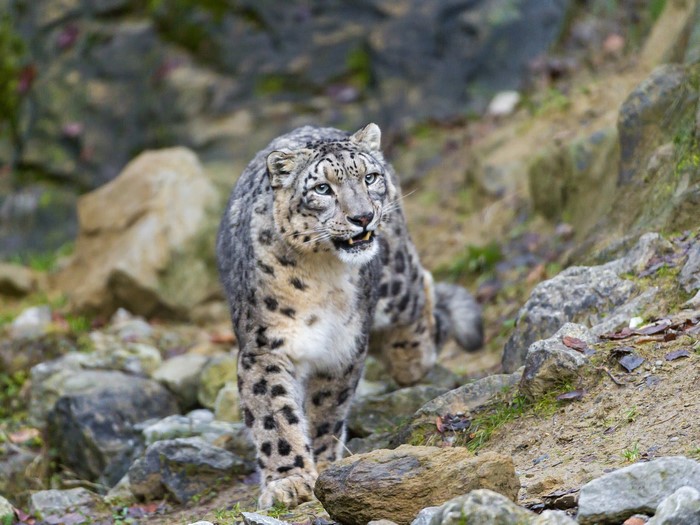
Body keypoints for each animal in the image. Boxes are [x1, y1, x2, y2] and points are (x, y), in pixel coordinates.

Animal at [216, 123, 482, 509]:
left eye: (369, 177)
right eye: (322, 188)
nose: (363, 217)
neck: (323, 275)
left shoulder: (343, 346)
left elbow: (327, 408)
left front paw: (322, 462)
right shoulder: (265, 346)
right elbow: (273, 416)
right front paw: (289, 481)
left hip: (397, 284)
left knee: (419, 292)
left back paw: (413, 356)